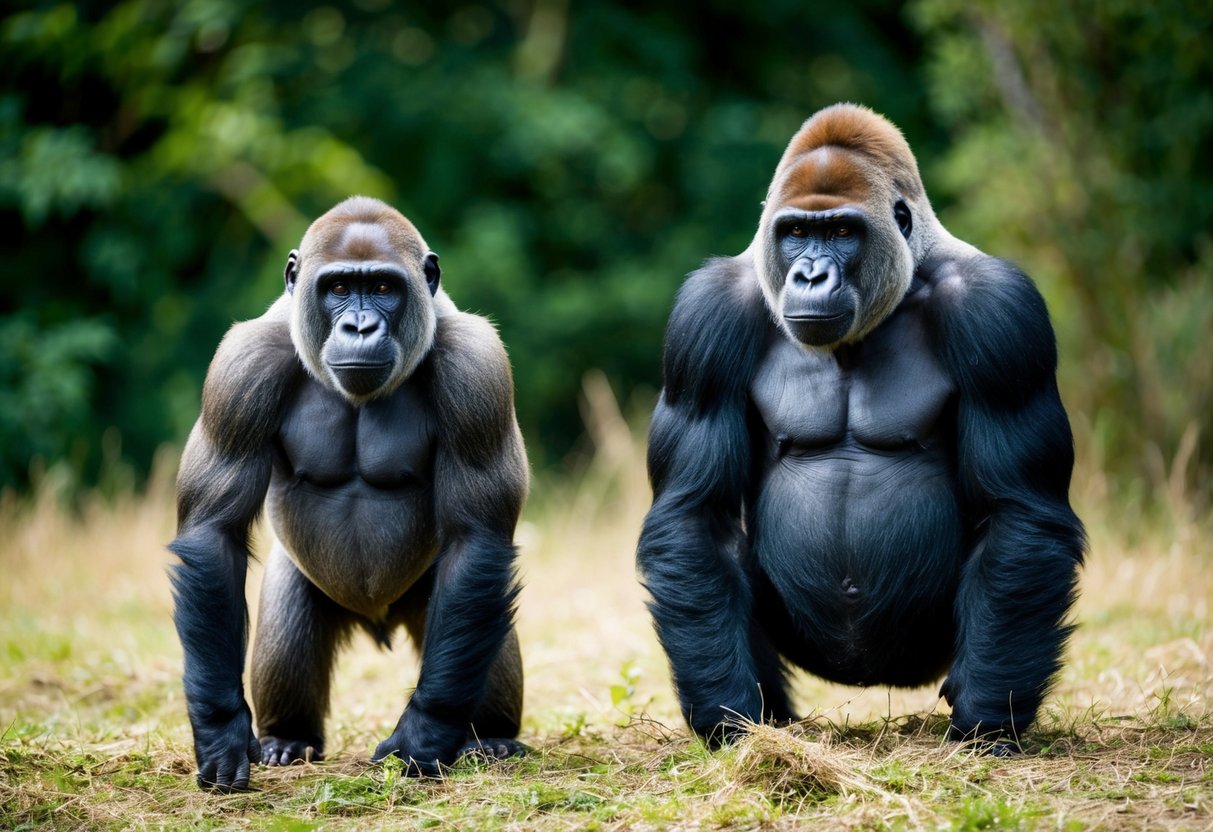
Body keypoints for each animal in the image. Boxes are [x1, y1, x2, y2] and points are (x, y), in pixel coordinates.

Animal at [169, 196, 528, 790]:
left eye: (383, 287)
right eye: (338, 287)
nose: (360, 326)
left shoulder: (477, 366)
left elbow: (476, 539)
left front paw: (424, 732)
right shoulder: (242, 365)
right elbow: (212, 533)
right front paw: (220, 728)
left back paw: (491, 736)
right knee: (288, 621)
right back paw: (288, 737)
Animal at [637, 103, 1085, 751]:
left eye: (844, 232)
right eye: (797, 233)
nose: (809, 276)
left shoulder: (1002, 313)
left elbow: (1020, 512)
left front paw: (988, 718)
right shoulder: (704, 315)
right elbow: (695, 516)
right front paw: (729, 714)